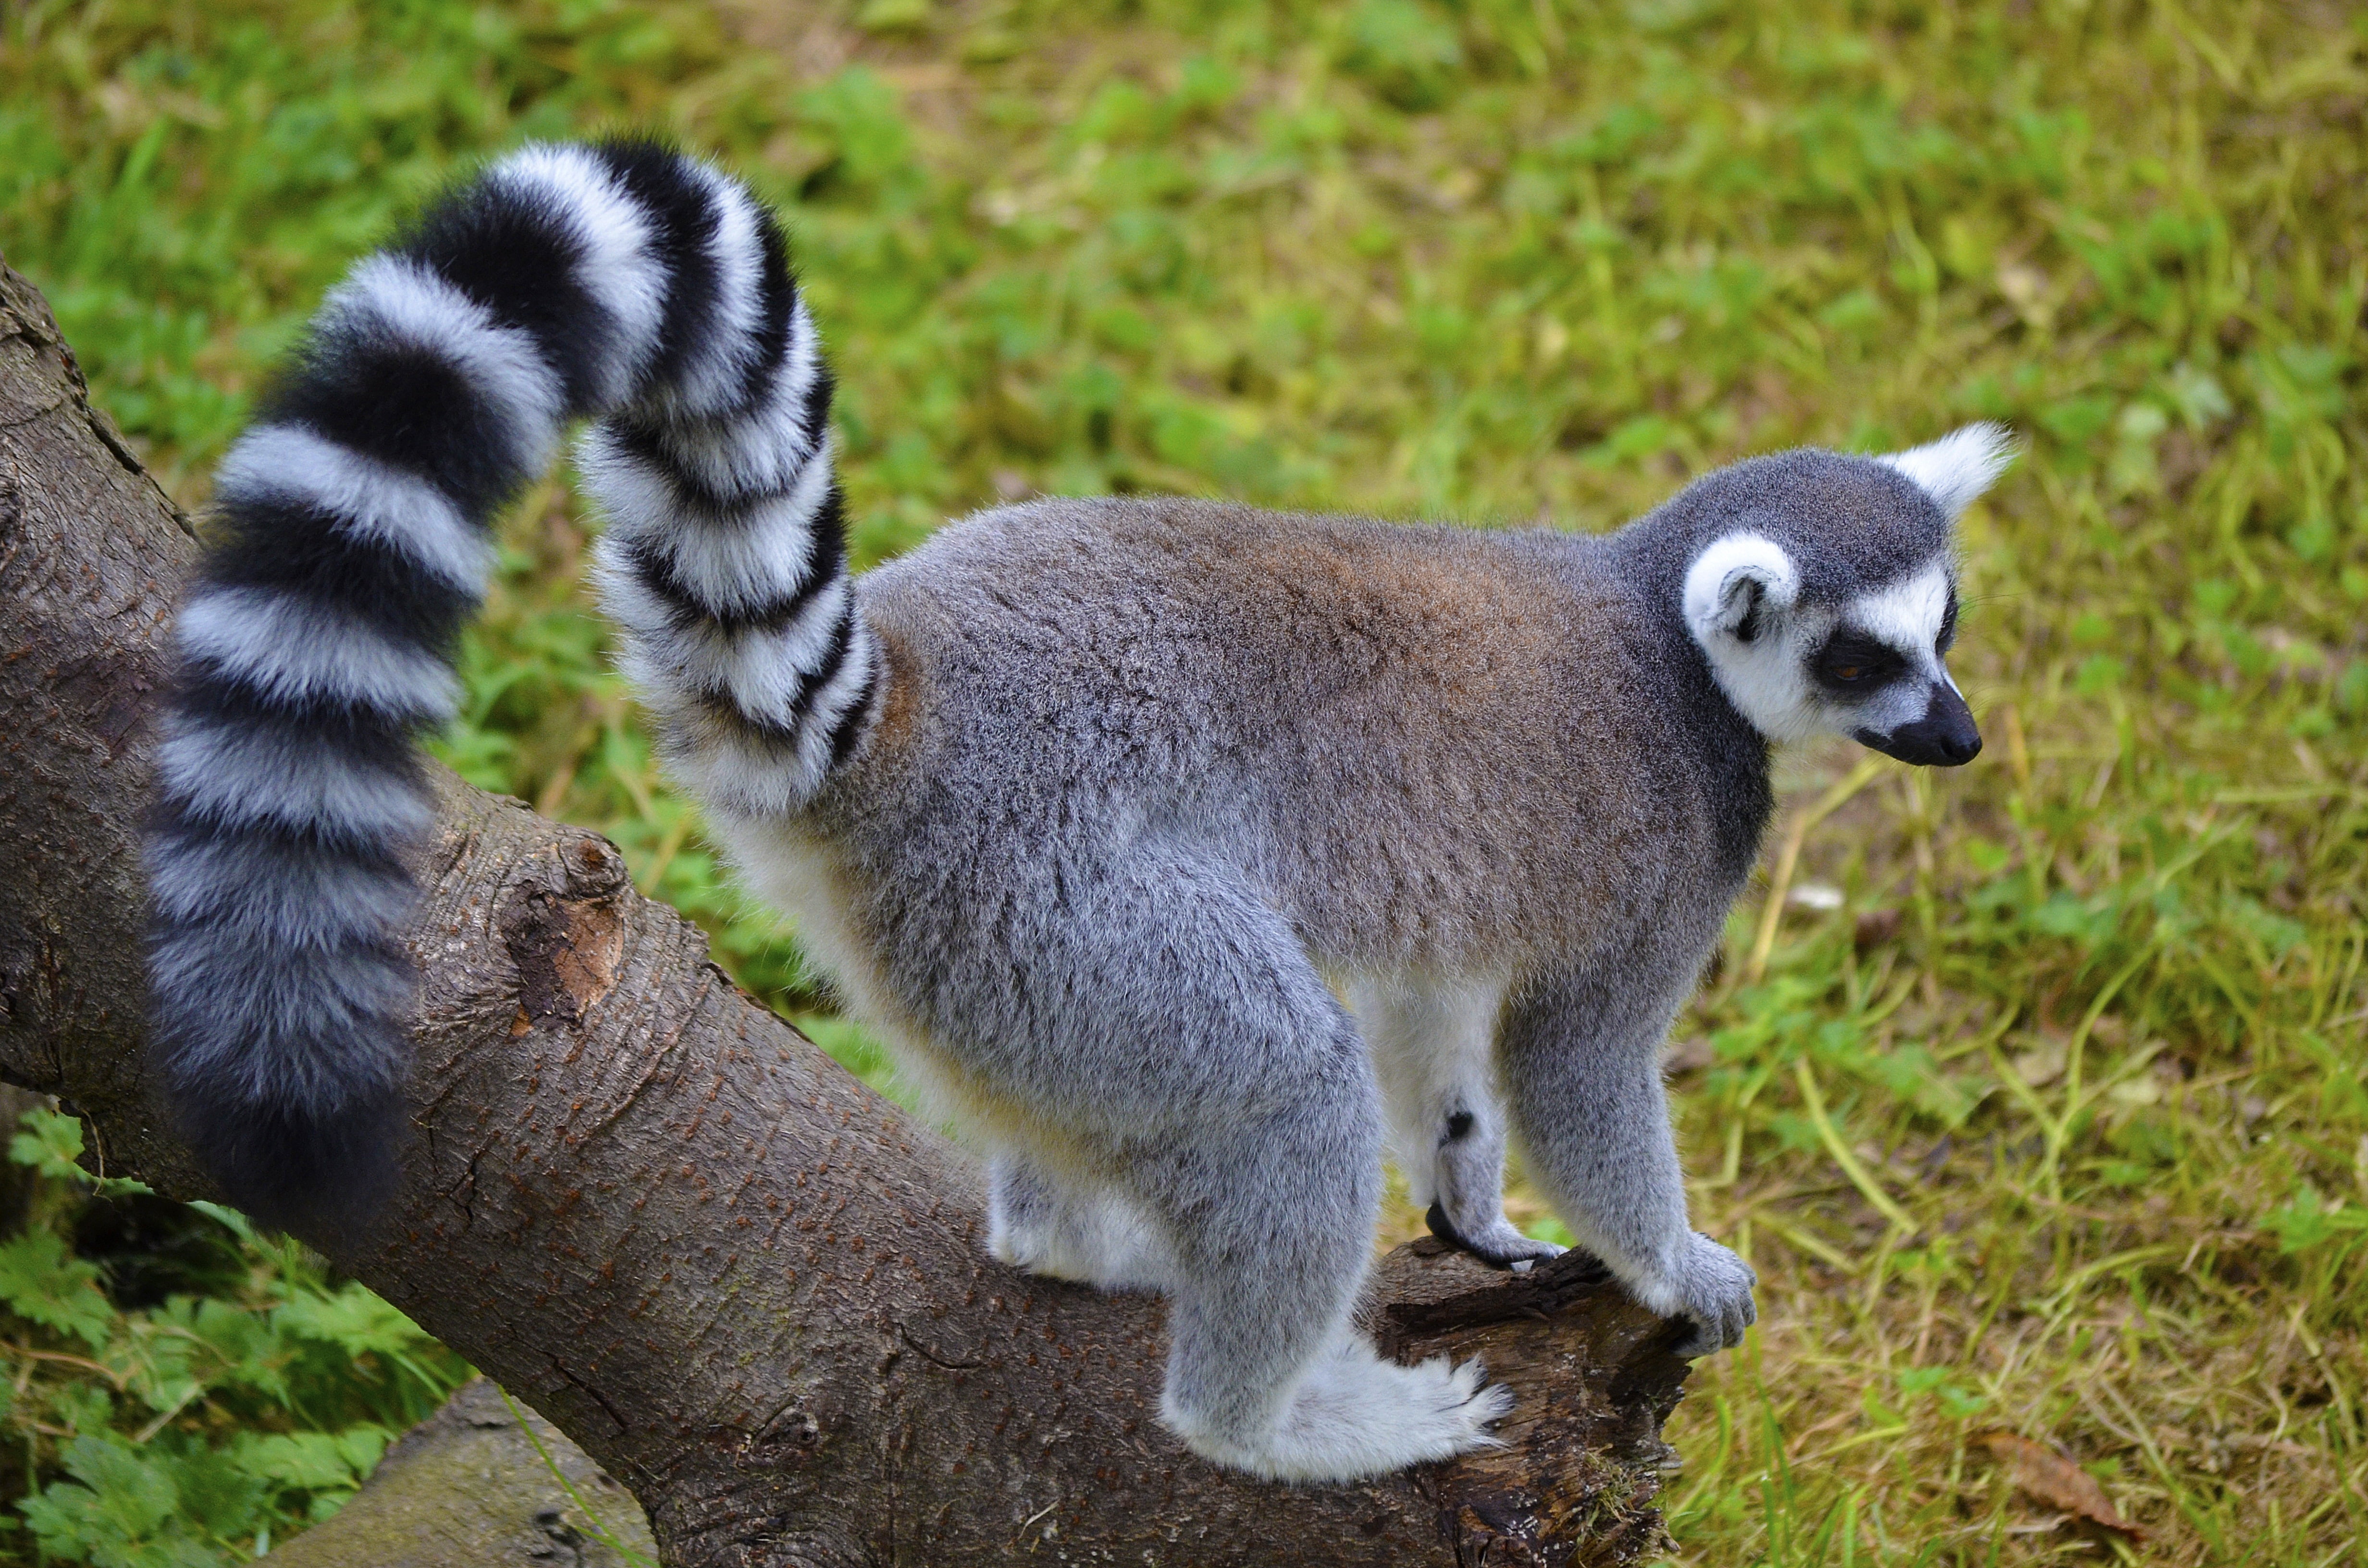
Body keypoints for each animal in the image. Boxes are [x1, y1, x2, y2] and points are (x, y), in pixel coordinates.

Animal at [144, 139, 2005, 1483]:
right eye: (1860, 654)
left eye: (1944, 620)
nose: (1958, 733)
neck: (1662, 633)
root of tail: (910, 704)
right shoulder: (1668, 843)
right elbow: (1572, 1062)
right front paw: (1675, 1269)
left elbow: (1440, 1029)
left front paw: (1473, 1205)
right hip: (1068, 903)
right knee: (1281, 1087)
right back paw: (1271, 1424)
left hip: (1011, 965)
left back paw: (1076, 1248)